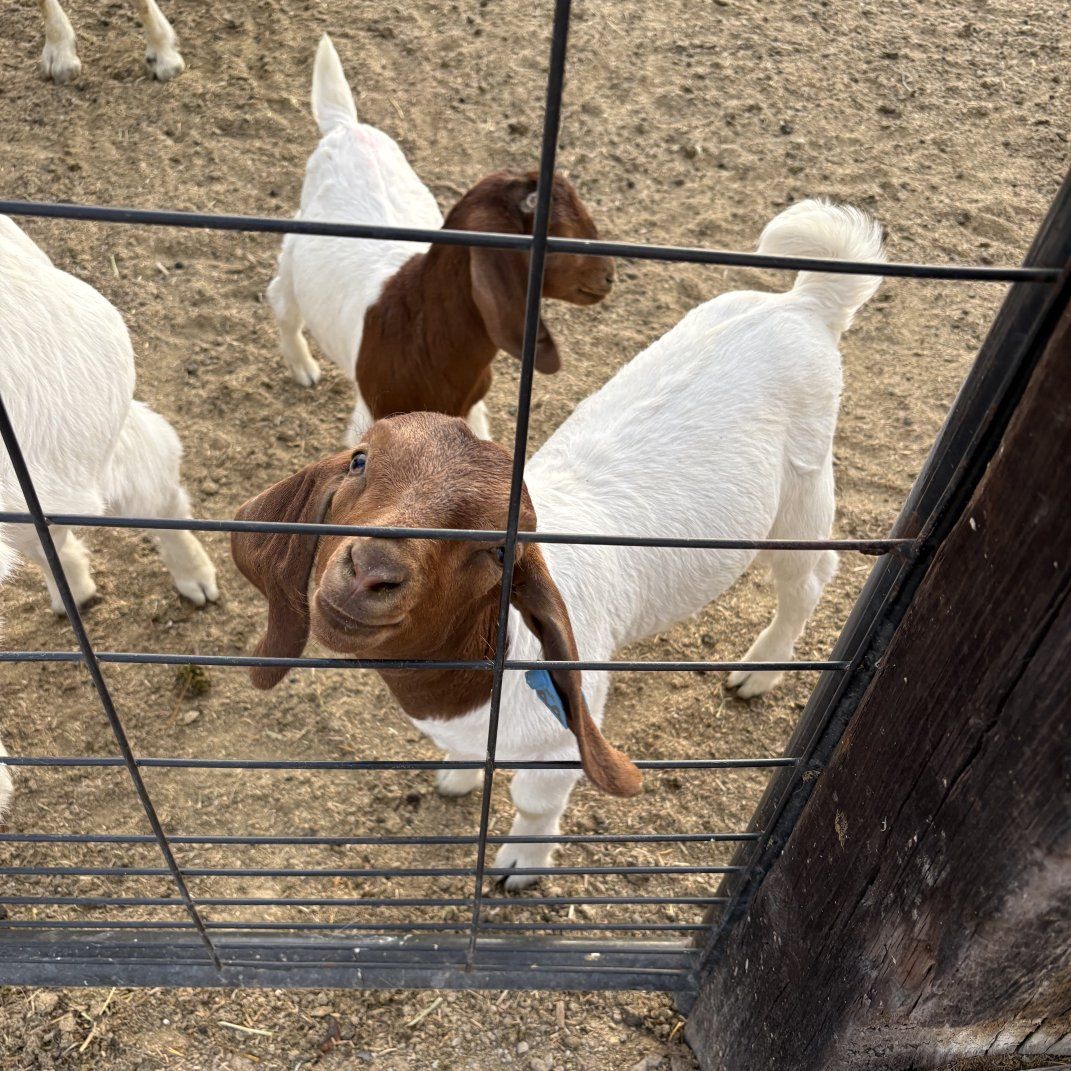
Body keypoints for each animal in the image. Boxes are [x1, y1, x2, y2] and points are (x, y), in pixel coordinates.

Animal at [233, 199, 886, 888]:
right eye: (360, 461)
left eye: (498, 550)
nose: (369, 569)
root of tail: (804, 303)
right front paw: (459, 777)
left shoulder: (562, 738)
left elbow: (534, 801)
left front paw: (521, 864)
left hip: (802, 487)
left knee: (810, 575)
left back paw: (758, 671)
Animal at [267, 34, 614, 445]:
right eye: (560, 235)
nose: (608, 276)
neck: (418, 326)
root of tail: (347, 127)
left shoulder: (467, 406)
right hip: (298, 241)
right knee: (282, 298)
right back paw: (303, 366)